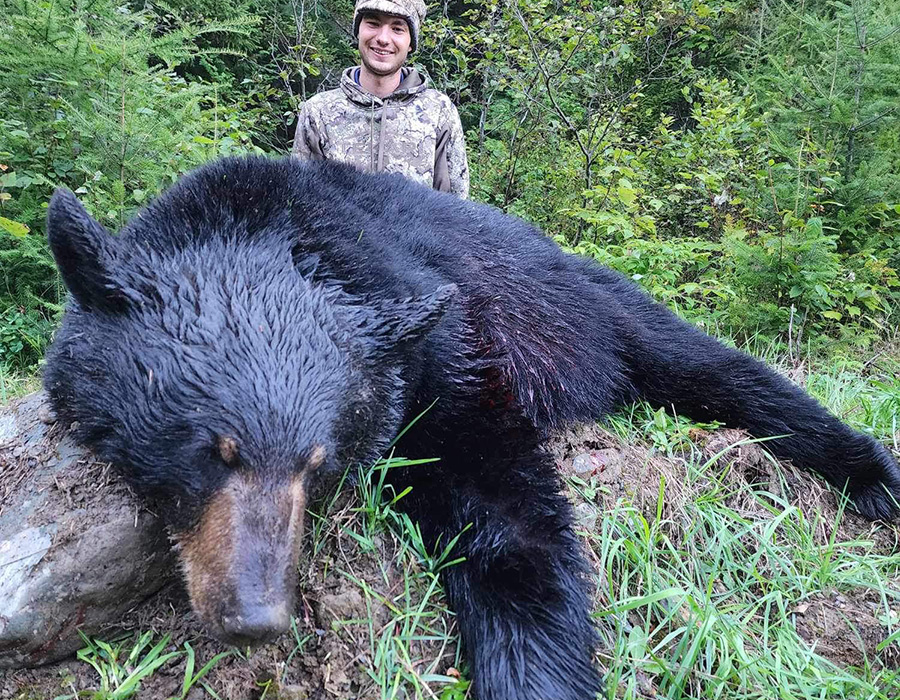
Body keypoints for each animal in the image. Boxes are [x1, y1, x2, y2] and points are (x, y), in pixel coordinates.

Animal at [44, 156, 900, 700]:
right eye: (211, 451)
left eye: (316, 464)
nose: (257, 618)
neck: (273, 226)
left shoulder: (446, 347)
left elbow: (505, 513)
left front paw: (535, 675)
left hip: (594, 305)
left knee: (720, 371)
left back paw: (873, 475)